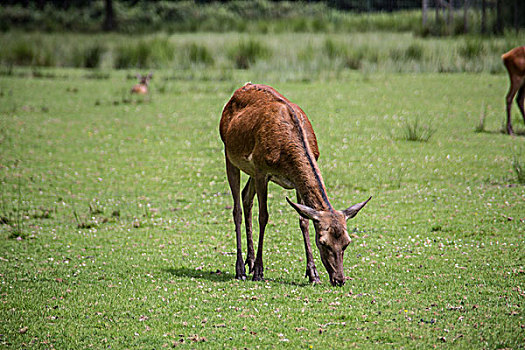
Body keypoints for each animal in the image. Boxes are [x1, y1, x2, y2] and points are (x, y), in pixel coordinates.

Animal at [219, 83, 370, 286]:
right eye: (323, 242)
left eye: (347, 242)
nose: (339, 279)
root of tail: (241, 88)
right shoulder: (261, 170)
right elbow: (264, 216)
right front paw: (259, 271)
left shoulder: (294, 181)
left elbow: (304, 220)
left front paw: (313, 274)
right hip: (229, 155)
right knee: (237, 209)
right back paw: (241, 269)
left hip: (249, 170)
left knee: (245, 197)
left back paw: (249, 261)